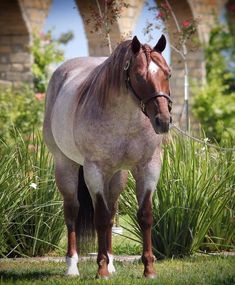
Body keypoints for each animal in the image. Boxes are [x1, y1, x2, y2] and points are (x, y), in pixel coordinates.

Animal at [43, 33, 171, 278]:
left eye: (167, 73)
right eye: (139, 76)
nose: (163, 121)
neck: (126, 121)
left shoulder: (148, 167)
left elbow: (144, 215)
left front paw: (148, 269)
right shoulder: (95, 170)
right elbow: (100, 218)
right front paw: (100, 269)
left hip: (117, 175)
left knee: (112, 211)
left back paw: (112, 263)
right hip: (66, 166)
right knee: (72, 211)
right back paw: (72, 266)